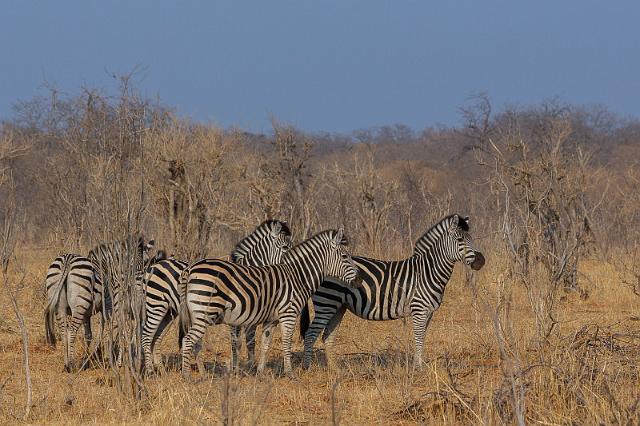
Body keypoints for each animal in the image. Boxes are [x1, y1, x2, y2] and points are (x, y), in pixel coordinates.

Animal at [141, 220, 292, 372]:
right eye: (285, 247)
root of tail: (157, 264)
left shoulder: (252, 315)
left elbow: (250, 342)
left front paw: (248, 367)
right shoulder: (238, 316)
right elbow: (237, 343)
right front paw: (238, 369)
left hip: (169, 312)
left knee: (157, 337)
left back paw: (161, 370)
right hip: (157, 305)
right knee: (147, 335)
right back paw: (150, 370)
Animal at [179, 228, 360, 378]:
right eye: (345, 257)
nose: (359, 280)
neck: (298, 278)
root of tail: (192, 268)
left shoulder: (271, 320)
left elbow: (265, 345)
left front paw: (260, 373)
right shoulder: (288, 314)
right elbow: (286, 342)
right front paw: (290, 374)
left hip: (197, 315)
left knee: (196, 343)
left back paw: (202, 374)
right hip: (205, 313)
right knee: (188, 340)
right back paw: (187, 376)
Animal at [300, 215, 484, 372]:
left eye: (471, 238)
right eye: (460, 240)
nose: (481, 261)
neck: (427, 272)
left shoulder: (429, 312)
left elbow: (423, 337)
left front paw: (418, 365)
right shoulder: (419, 309)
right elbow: (418, 338)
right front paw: (419, 368)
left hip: (338, 306)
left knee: (327, 336)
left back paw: (335, 370)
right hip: (327, 303)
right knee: (310, 334)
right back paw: (307, 368)